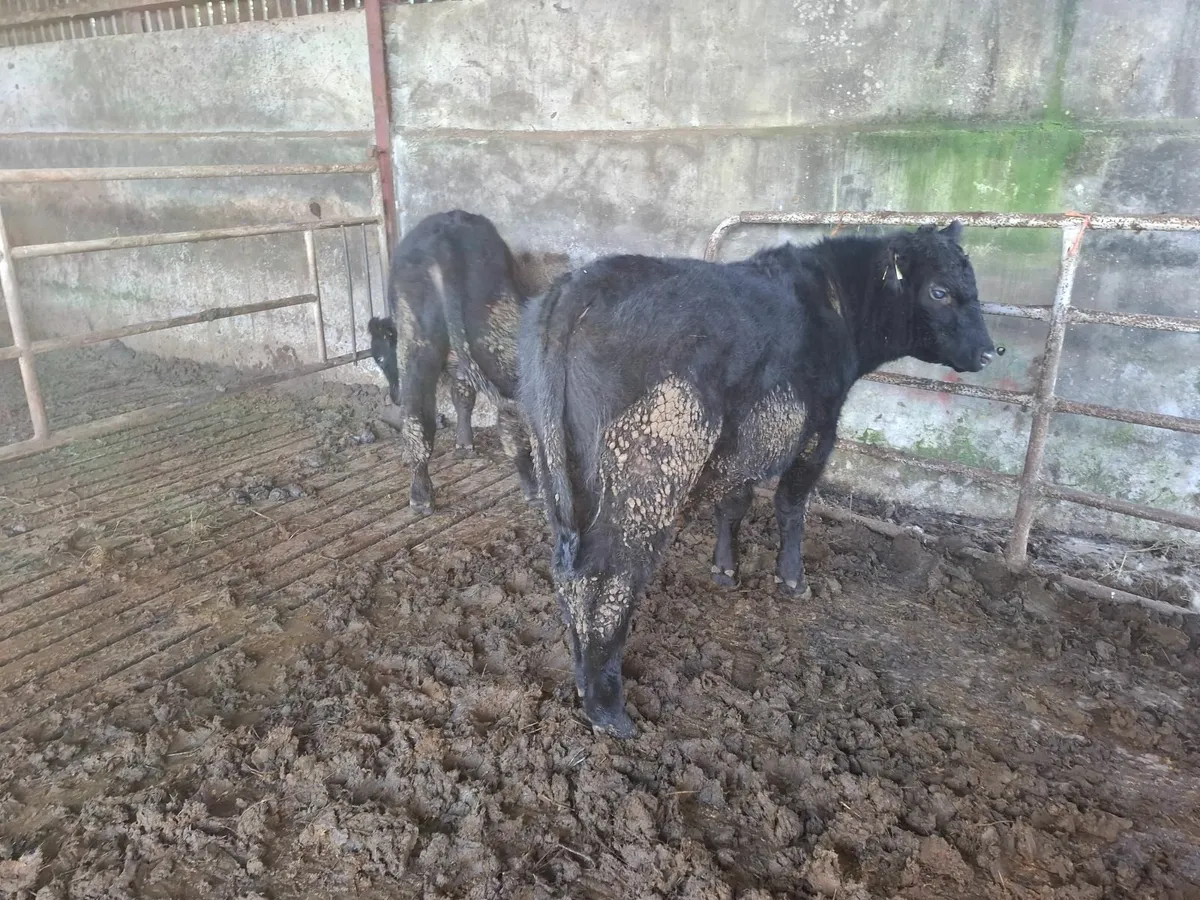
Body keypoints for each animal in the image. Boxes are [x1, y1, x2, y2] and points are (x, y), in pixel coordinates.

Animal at [367, 210, 539, 514]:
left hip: (421, 344)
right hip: (493, 331)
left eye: (380, 356)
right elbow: (464, 397)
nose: (394, 395)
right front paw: (465, 444)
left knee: (419, 420)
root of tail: (446, 237)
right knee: (510, 414)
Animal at [518, 221, 999, 738]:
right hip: (648, 474)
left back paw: (580, 673)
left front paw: (725, 570)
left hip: (561, 473)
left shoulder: (744, 443)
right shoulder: (818, 429)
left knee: (567, 572)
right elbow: (791, 505)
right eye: (939, 291)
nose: (991, 352)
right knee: (606, 575)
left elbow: (734, 503)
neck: (833, 299)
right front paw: (792, 578)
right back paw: (607, 709)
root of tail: (582, 282)